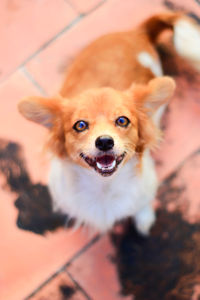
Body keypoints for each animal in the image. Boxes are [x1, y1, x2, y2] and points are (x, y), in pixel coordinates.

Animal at [17, 11, 200, 236]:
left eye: (122, 120)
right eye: (80, 125)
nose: (104, 141)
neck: (104, 187)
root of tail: (136, 33)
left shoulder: (146, 185)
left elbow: (142, 204)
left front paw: (144, 219)